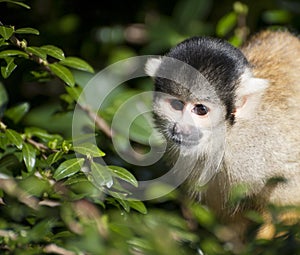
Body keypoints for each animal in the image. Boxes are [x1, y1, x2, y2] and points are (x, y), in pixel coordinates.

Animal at [145, 30, 300, 249]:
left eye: (201, 109)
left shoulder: (261, 150)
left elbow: (289, 200)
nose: (181, 129)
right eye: (176, 105)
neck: (227, 134)